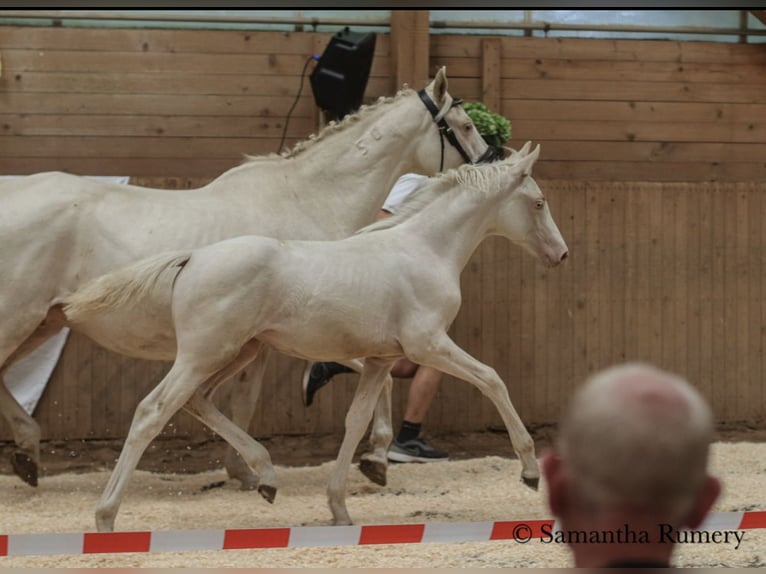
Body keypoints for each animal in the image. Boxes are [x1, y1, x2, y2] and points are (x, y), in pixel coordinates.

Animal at [0, 68, 498, 490]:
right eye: (464, 125)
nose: (492, 164)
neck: (308, 198)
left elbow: (246, 398)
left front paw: (245, 470)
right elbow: (265, 396)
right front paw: (369, 458)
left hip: (42, 322)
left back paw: (27, 456)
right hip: (18, 320)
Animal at [64, 143, 568, 532]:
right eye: (539, 202)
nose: (561, 254)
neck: (423, 248)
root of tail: (194, 256)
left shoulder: (382, 360)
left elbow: (356, 421)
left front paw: (340, 507)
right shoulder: (428, 345)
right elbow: (492, 379)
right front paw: (529, 471)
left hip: (236, 352)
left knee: (198, 401)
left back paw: (266, 477)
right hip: (203, 354)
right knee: (153, 411)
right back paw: (106, 516)